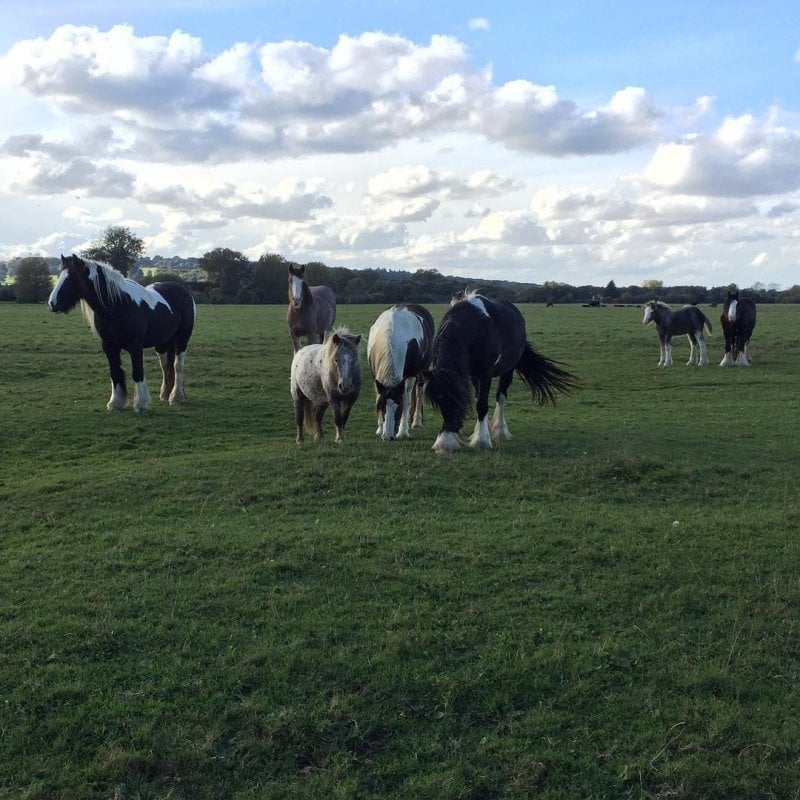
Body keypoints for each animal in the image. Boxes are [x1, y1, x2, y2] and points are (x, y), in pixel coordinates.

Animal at [47, 253, 196, 412]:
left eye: (71, 278)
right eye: (59, 276)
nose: (52, 304)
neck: (119, 305)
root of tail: (183, 291)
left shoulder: (135, 346)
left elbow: (137, 373)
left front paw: (141, 404)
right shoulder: (109, 346)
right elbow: (115, 373)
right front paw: (115, 402)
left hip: (182, 339)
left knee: (177, 365)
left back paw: (176, 397)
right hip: (162, 343)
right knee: (165, 365)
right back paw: (165, 394)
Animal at [368, 304, 434, 440]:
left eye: (398, 407)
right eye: (381, 406)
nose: (387, 437)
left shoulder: (410, 375)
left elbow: (406, 399)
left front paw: (403, 431)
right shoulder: (374, 374)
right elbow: (378, 394)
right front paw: (380, 428)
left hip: (421, 371)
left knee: (418, 392)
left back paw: (416, 421)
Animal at [424, 292, 576, 456]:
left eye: (457, 401)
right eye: (438, 400)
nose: (445, 444)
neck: (475, 327)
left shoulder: (485, 374)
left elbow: (482, 405)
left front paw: (482, 441)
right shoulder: (471, 376)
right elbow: (477, 402)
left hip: (508, 370)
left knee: (501, 397)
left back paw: (500, 431)